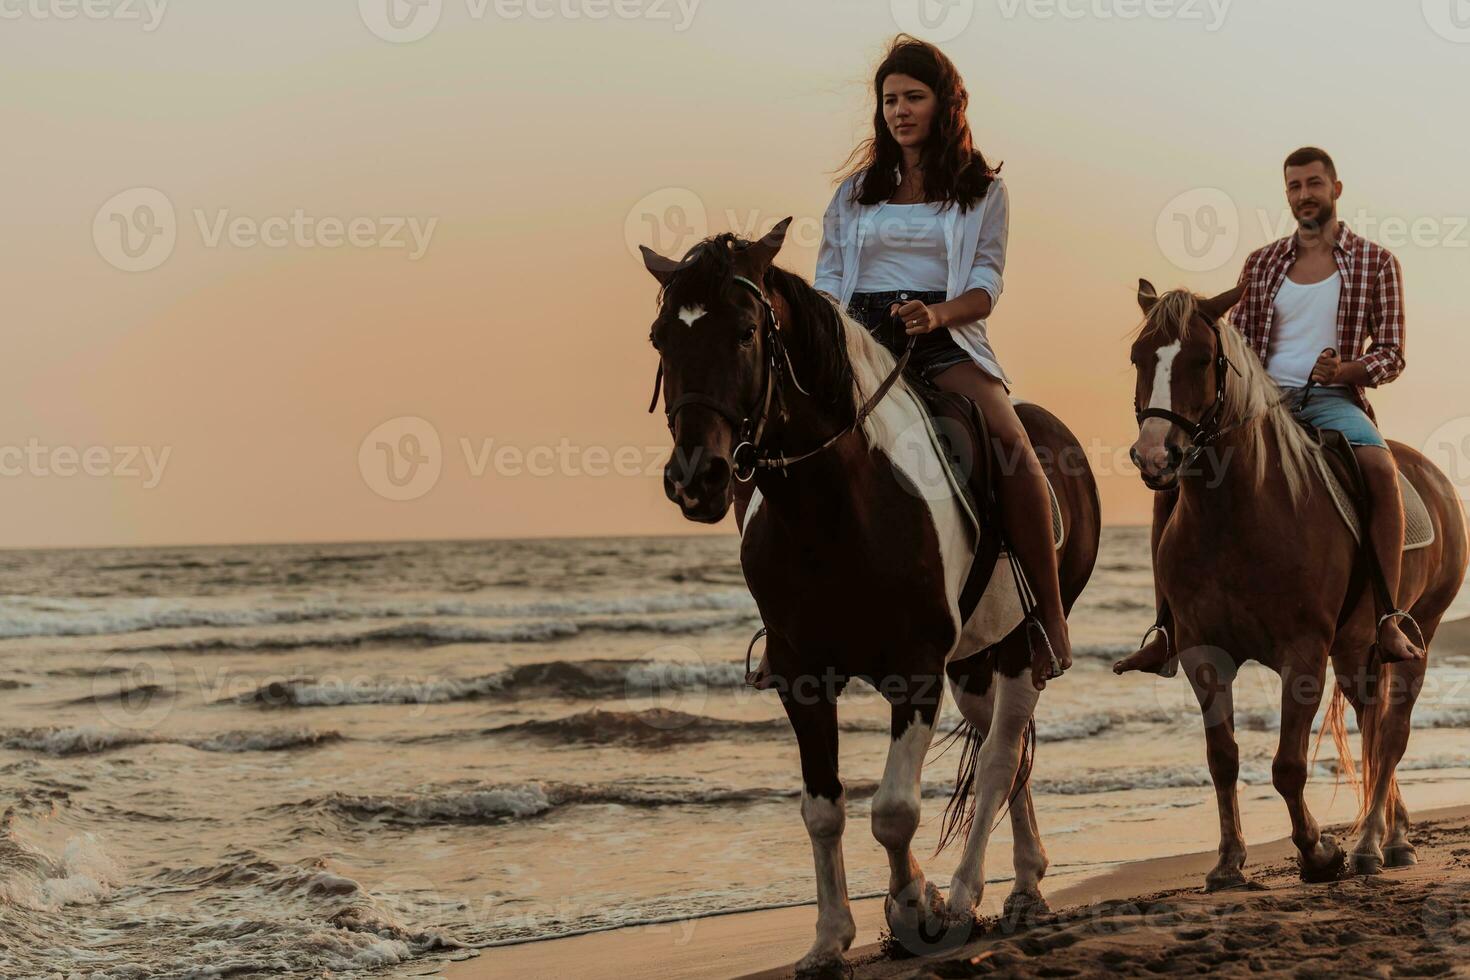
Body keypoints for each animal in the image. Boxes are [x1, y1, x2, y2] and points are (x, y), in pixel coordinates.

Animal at [643, 220, 1105, 975]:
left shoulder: (914, 672)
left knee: (1001, 756)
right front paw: (831, 939)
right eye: (660, 338)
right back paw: (1027, 885)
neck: (834, 508)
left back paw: (967, 896)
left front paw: (913, 906)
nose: (695, 478)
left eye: (745, 332)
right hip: (971, 660)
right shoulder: (803, 677)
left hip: (1019, 647)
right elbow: (823, 809)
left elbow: (893, 811)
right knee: (1004, 752)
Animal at [1123, 279, 1470, 887]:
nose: (1155, 455)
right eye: (1139, 357)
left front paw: (1319, 853)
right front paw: (1229, 862)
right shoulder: (1202, 652)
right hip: (1356, 649)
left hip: (1416, 634)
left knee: (1392, 734)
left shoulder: (1303, 654)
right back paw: (1394, 836)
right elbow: (1223, 758)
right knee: (1372, 723)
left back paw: (1370, 845)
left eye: (1201, 359)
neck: (1239, 515)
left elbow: (1287, 765)